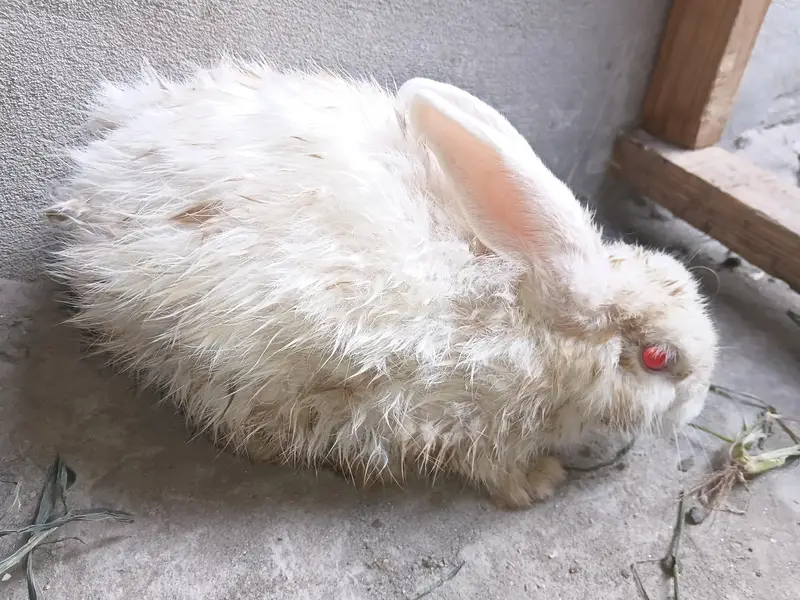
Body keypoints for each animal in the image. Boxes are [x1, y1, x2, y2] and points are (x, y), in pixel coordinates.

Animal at [46, 59, 718, 509]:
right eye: (659, 358)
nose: (696, 407)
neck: (536, 317)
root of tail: (91, 204)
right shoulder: (479, 424)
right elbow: (493, 466)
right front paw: (538, 483)